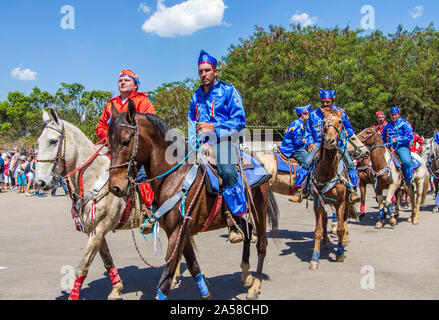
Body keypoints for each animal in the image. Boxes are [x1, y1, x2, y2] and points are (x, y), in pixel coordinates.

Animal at [36, 108, 145, 300]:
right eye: (38, 142)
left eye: (53, 141)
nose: (40, 182)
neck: (93, 177)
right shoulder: (94, 230)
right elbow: (107, 261)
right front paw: (117, 289)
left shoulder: (99, 229)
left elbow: (82, 267)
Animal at [106, 100, 280, 300]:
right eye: (109, 144)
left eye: (126, 141)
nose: (115, 187)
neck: (175, 176)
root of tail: (258, 160)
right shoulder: (181, 232)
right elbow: (193, 265)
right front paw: (206, 295)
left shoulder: (178, 232)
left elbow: (166, 277)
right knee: (248, 231)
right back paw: (245, 274)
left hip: (260, 209)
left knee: (262, 243)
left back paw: (255, 286)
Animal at [310, 109, 358, 272]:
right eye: (324, 122)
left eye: (340, 121)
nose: (329, 141)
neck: (328, 172)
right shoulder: (318, 202)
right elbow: (318, 230)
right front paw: (314, 259)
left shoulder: (341, 202)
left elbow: (341, 229)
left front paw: (340, 253)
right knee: (325, 219)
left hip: (348, 202)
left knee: (344, 221)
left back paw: (344, 242)